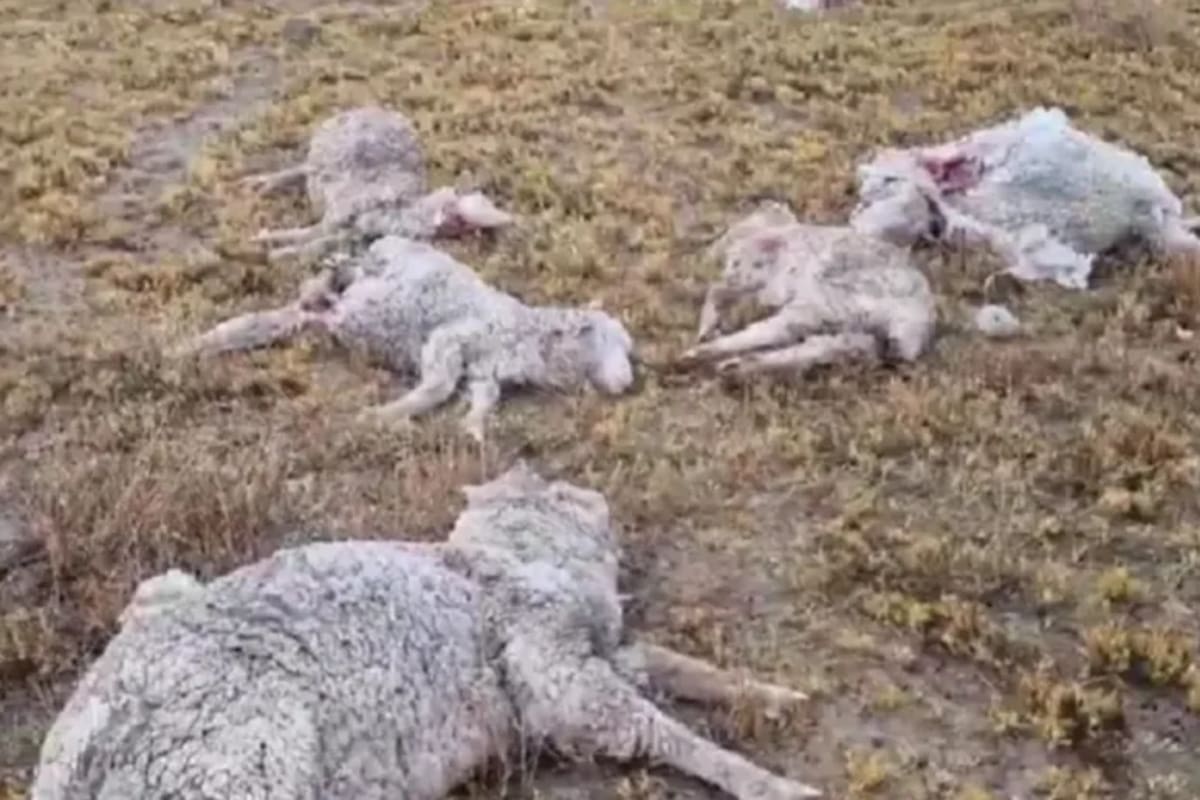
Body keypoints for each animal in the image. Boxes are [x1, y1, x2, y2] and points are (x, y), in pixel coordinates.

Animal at [30, 461, 822, 800]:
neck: (498, 558)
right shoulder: (555, 675)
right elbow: (663, 732)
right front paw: (773, 783)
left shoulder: (589, 647)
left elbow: (674, 664)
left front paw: (772, 695)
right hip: (240, 768)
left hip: (162, 594)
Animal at [172, 236, 636, 442]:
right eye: (608, 341)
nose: (627, 382)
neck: (528, 337)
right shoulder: (449, 338)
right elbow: (438, 386)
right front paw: (383, 416)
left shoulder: (483, 371)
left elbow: (483, 397)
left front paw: (473, 428)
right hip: (370, 264)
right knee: (336, 263)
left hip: (316, 310)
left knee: (288, 313)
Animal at [243, 106, 514, 264]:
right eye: (462, 217)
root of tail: (372, 109)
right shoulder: (336, 218)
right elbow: (301, 235)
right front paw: (262, 242)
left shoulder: (344, 234)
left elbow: (313, 244)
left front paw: (273, 251)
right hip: (321, 156)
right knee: (298, 169)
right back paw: (262, 183)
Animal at [681, 201, 936, 377]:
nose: (710, 253)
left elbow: (719, 291)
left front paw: (708, 328)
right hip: (850, 330)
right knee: (825, 347)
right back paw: (734, 366)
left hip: (821, 303)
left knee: (776, 331)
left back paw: (701, 355)